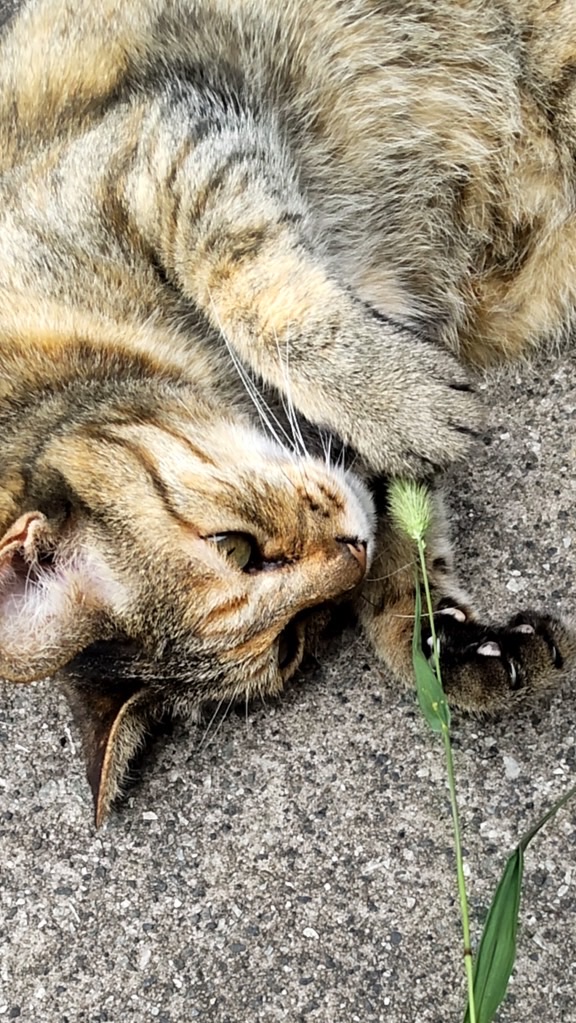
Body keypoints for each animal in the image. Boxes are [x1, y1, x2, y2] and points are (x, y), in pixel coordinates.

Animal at [1, 0, 576, 822]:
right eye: (293, 641)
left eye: (235, 549)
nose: (349, 553)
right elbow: (402, 559)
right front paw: (451, 645)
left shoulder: (160, 151)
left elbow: (255, 292)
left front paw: (396, 397)